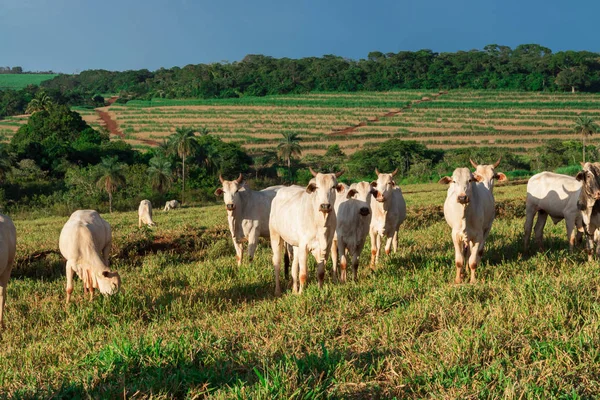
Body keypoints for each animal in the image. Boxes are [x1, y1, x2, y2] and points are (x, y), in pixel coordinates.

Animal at [270, 167, 344, 296]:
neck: (320, 222)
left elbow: (320, 273)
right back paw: (278, 291)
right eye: (317, 187)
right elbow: (303, 274)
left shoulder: (326, 247)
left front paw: (319, 290)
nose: (325, 206)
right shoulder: (304, 246)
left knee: (294, 266)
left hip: (295, 245)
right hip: (275, 236)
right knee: (277, 263)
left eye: (333, 187)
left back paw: (294, 290)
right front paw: (301, 294)